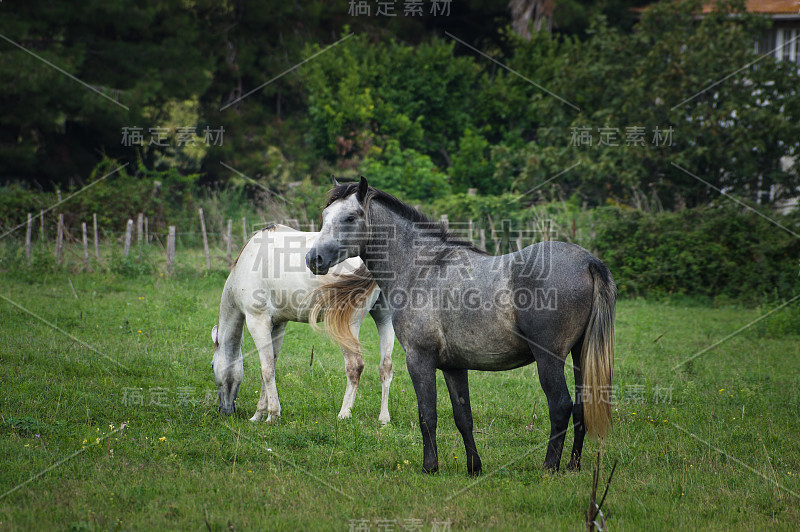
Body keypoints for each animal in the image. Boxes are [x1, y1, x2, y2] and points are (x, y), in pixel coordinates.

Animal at [209, 224, 390, 424]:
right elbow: (272, 364)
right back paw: (384, 418)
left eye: (212, 366)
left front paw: (272, 415)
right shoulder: (278, 325)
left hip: (349, 325)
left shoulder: (257, 321)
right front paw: (259, 414)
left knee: (355, 366)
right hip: (383, 317)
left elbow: (266, 369)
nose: (224, 411)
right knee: (386, 367)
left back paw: (344, 413)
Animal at [304, 179, 612, 474]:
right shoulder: (454, 367)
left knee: (560, 406)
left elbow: (427, 415)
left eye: (350, 218)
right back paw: (573, 466)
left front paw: (430, 467)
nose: (313, 259)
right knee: (581, 408)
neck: (423, 269)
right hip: (579, 356)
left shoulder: (419, 359)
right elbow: (463, 417)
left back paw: (550, 467)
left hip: (549, 359)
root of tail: (588, 262)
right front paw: (474, 467)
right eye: (325, 216)